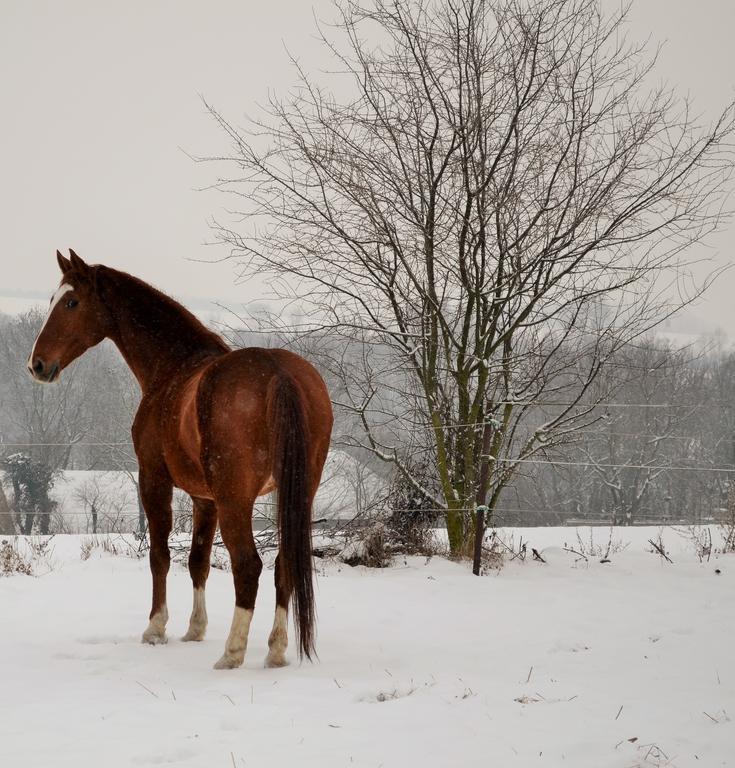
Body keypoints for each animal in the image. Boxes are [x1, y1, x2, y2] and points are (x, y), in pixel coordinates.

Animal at [28, 249, 334, 668]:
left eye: (71, 302)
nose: (37, 365)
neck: (174, 367)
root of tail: (278, 372)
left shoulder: (154, 480)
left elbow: (159, 555)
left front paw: (156, 629)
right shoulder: (205, 498)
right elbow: (197, 560)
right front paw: (194, 629)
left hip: (237, 499)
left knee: (248, 566)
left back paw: (231, 654)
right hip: (296, 494)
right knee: (283, 562)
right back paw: (275, 650)